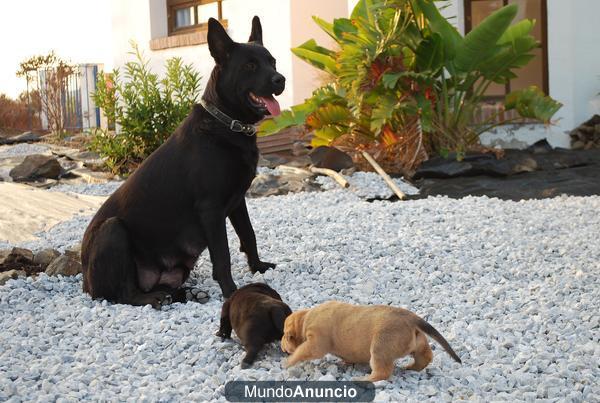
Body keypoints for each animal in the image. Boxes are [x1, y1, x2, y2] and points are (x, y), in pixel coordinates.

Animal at [81, 15, 284, 308]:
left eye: (273, 62)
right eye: (250, 66)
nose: (281, 80)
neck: (225, 124)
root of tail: (85, 282)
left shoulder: (237, 203)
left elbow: (249, 235)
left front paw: (258, 267)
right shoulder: (211, 210)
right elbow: (222, 256)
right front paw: (231, 291)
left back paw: (186, 293)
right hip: (113, 230)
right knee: (126, 294)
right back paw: (156, 298)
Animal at [280, 302, 460, 384]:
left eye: (284, 335)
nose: (282, 345)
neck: (305, 319)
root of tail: (411, 318)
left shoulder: (316, 342)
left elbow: (303, 350)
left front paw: (288, 362)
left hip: (380, 347)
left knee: (382, 372)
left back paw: (363, 379)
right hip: (418, 340)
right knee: (425, 356)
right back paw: (411, 368)